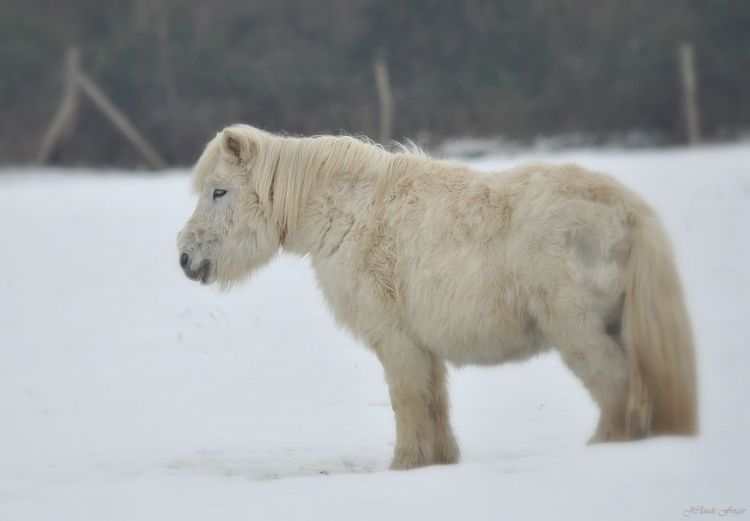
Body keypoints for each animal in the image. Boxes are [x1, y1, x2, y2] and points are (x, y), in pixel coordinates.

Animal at [178, 124, 700, 470]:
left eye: (219, 191)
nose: (185, 257)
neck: (349, 216)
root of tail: (628, 212)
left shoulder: (395, 341)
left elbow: (408, 403)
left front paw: (405, 467)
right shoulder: (422, 345)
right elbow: (434, 404)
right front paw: (439, 464)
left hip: (581, 332)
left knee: (617, 389)